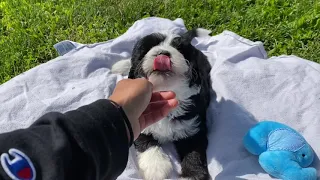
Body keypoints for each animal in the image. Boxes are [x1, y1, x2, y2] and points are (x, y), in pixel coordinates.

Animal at [111, 28, 211, 179]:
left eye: (179, 48)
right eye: (147, 48)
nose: (163, 54)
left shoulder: (193, 128)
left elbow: (194, 154)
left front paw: (191, 175)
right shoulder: (138, 120)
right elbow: (146, 142)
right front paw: (156, 167)